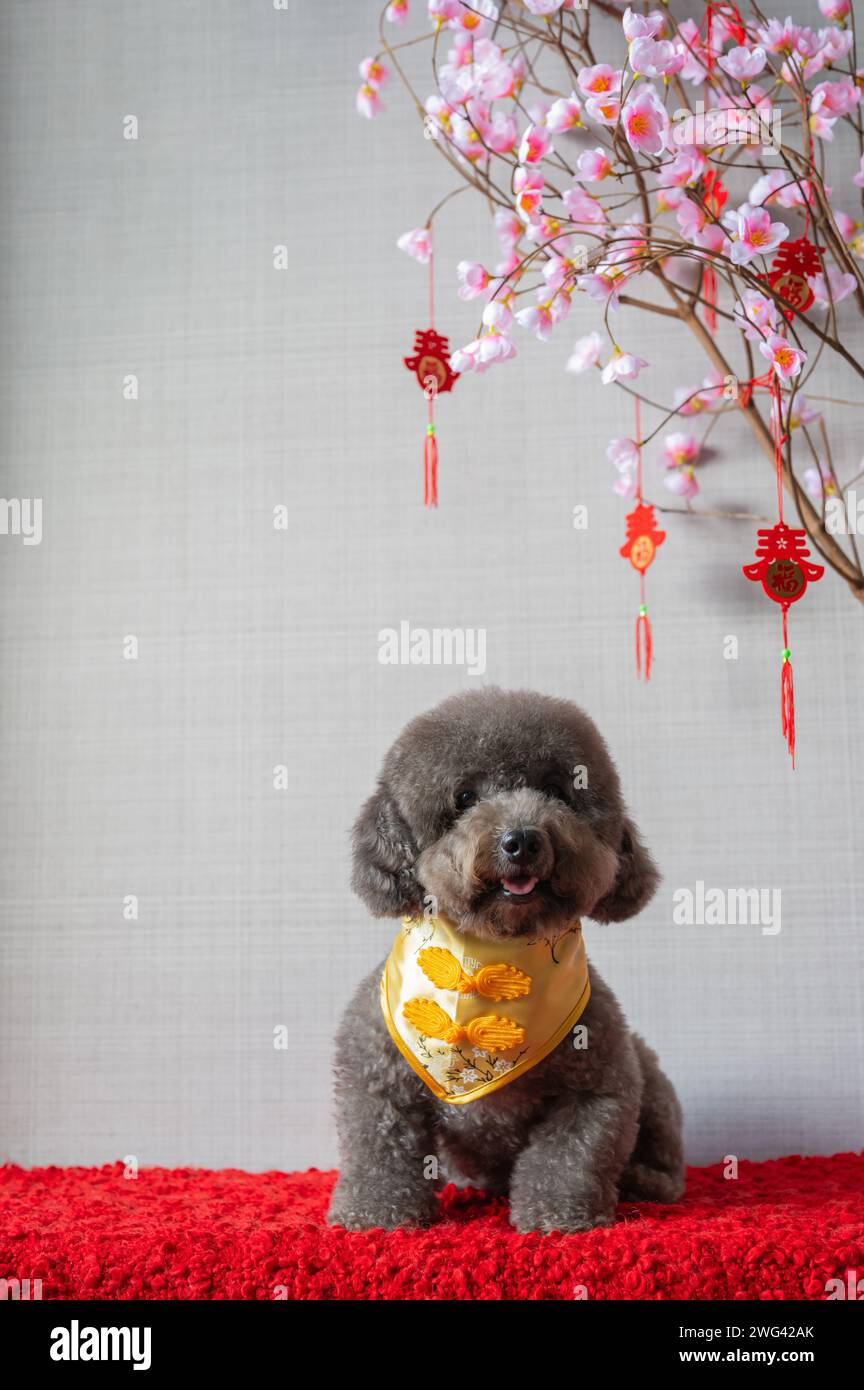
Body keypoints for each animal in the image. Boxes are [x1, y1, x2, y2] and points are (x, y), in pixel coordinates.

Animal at [327, 689, 686, 1234]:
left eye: (557, 790)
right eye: (464, 798)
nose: (522, 840)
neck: (488, 959)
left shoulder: (596, 1089)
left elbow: (569, 1159)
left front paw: (559, 1215)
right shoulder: (377, 1081)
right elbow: (379, 1152)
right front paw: (375, 1214)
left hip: (651, 1076)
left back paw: (644, 1182)